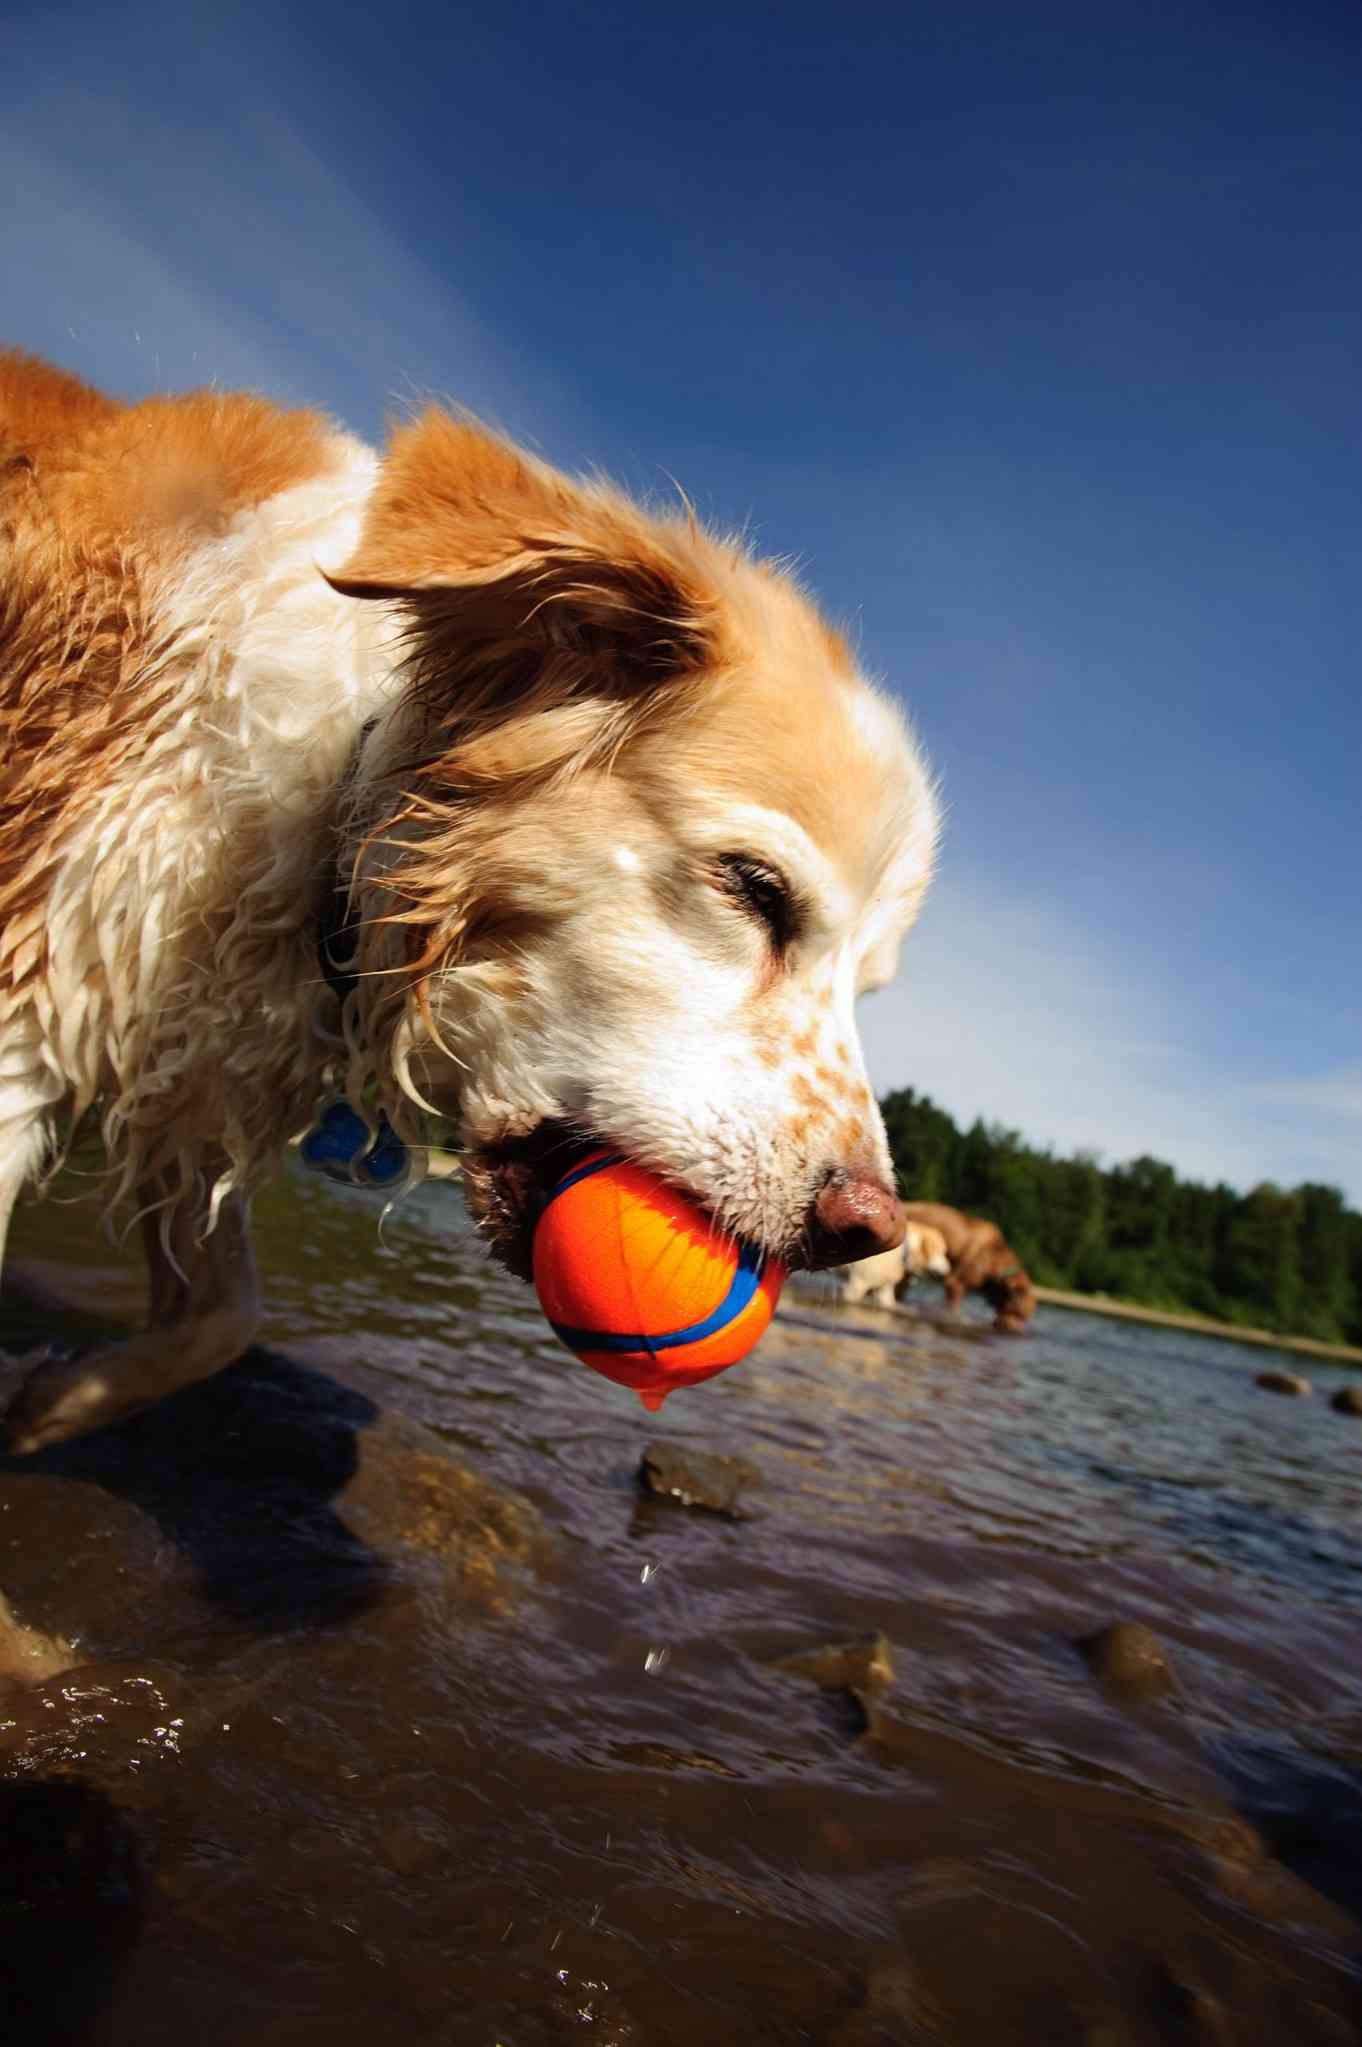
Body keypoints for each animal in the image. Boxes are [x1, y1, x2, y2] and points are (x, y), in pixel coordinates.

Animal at [0, 347, 933, 1441]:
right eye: (755, 888)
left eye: (867, 985)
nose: (869, 1230)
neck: (333, 785)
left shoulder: (195, 1054)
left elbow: (226, 1313)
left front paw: (52, 1401)